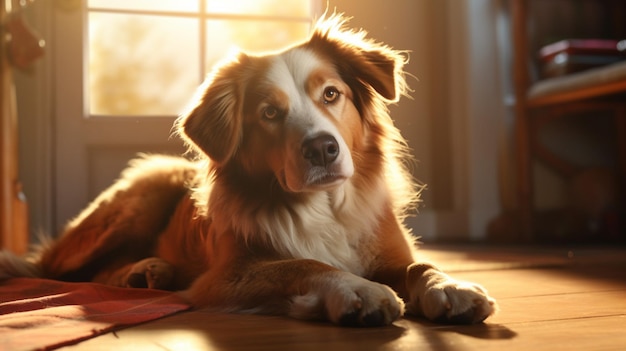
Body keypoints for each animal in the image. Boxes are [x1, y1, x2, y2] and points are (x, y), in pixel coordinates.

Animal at [1, 13, 498, 328]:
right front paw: (359, 291)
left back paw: (148, 272)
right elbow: (304, 262)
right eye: (269, 113)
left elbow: (421, 264)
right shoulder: (225, 276)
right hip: (143, 192)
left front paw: (449, 286)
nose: (322, 149)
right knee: (62, 272)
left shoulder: (390, 252)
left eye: (331, 94)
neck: (321, 208)